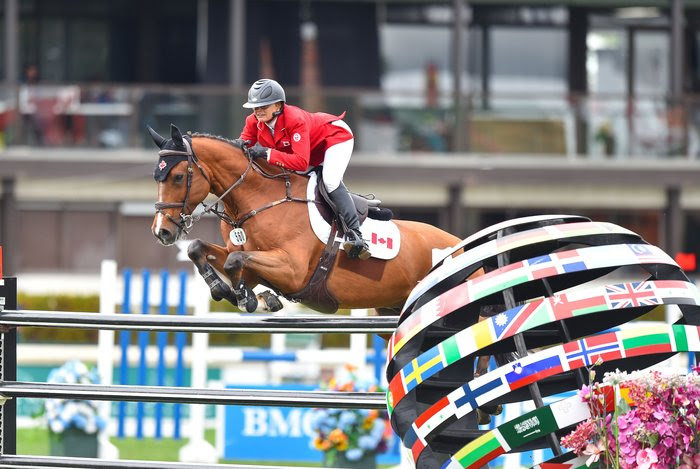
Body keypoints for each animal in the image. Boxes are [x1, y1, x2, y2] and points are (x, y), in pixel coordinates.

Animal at [147, 123, 462, 314]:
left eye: (177, 177)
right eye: (156, 177)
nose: (161, 232)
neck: (258, 198)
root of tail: (459, 242)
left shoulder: (293, 269)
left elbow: (235, 261)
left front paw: (249, 298)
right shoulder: (248, 259)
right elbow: (200, 249)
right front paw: (232, 291)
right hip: (389, 307)